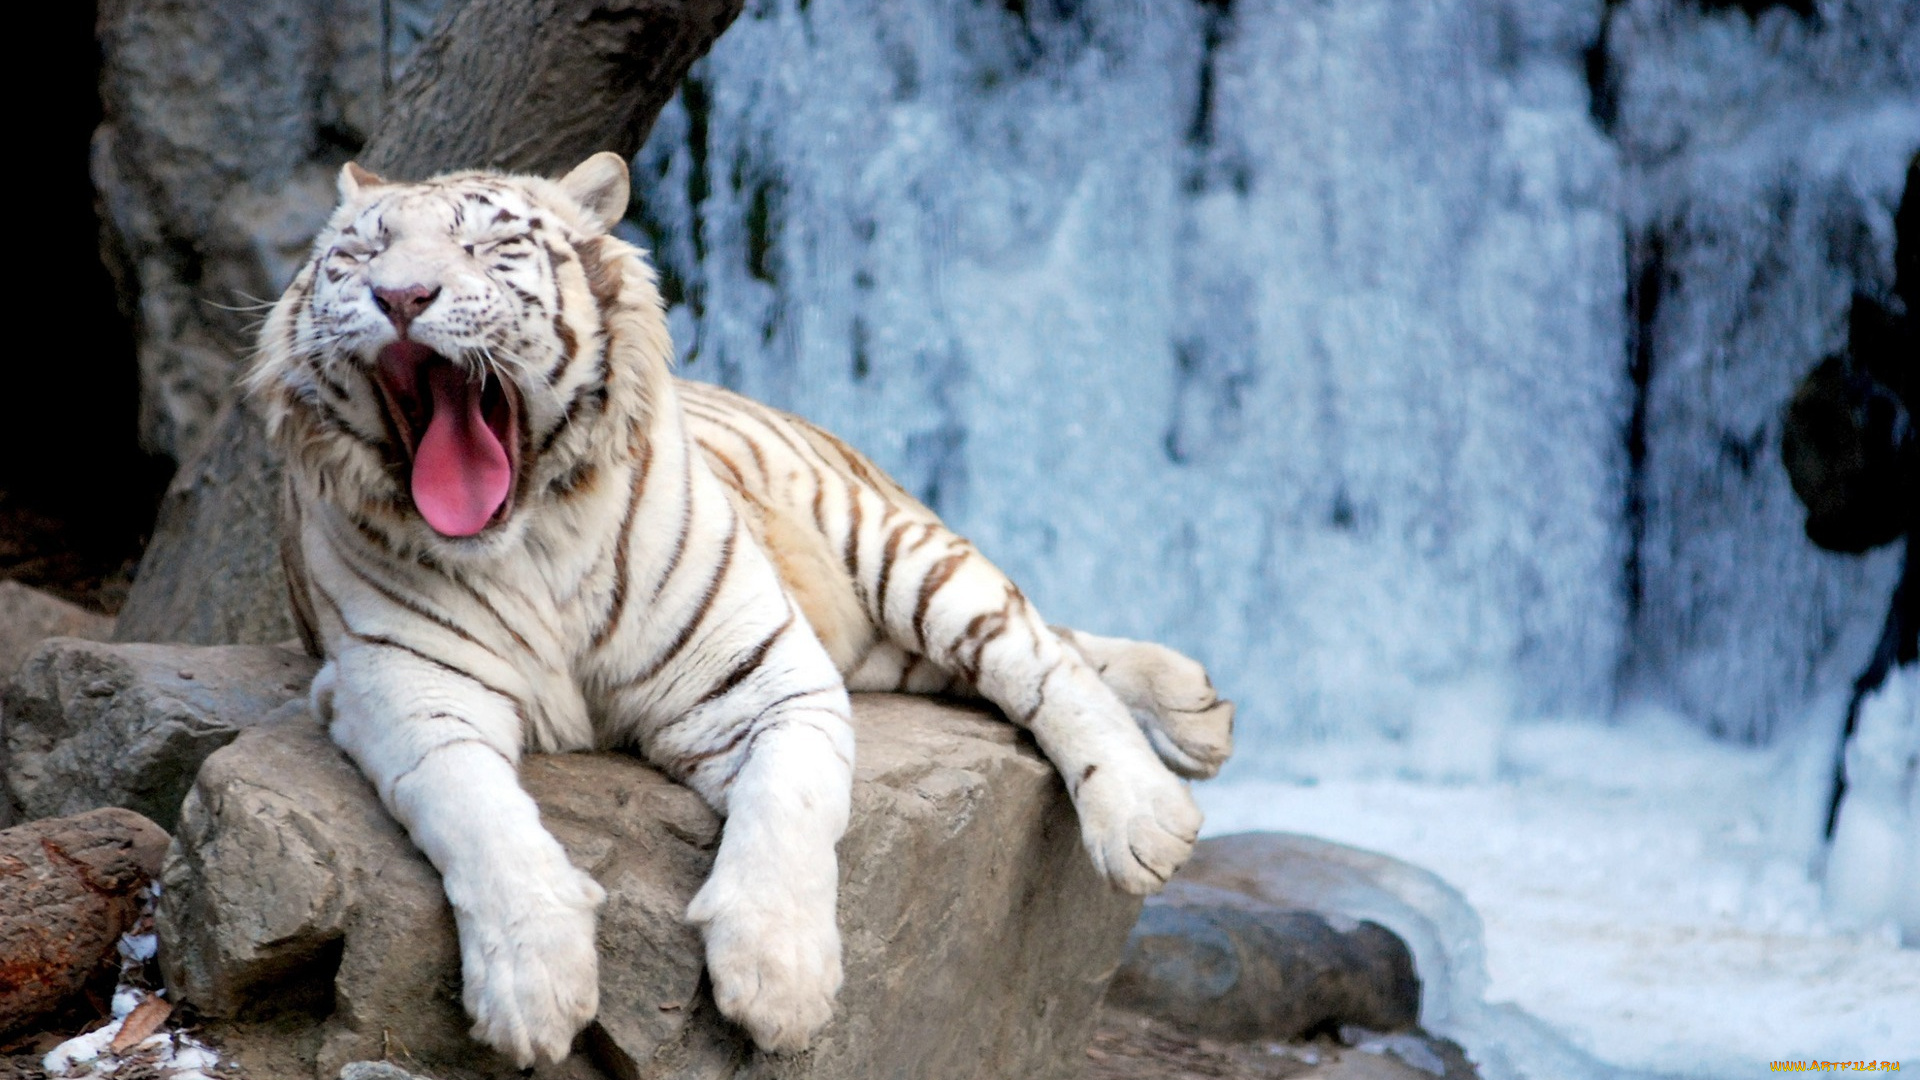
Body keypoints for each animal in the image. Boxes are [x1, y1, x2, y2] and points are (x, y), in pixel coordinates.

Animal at [246, 152, 1235, 1066]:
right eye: (360, 253)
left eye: (485, 246)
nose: (400, 295)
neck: (527, 541)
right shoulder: (406, 694)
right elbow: (479, 817)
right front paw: (534, 990)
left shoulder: (766, 675)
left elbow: (790, 806)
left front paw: (779, 982)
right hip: (884, 649)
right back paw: (1197, 706)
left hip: (893, 551)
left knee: (1037, 652)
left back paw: (1150, 808)